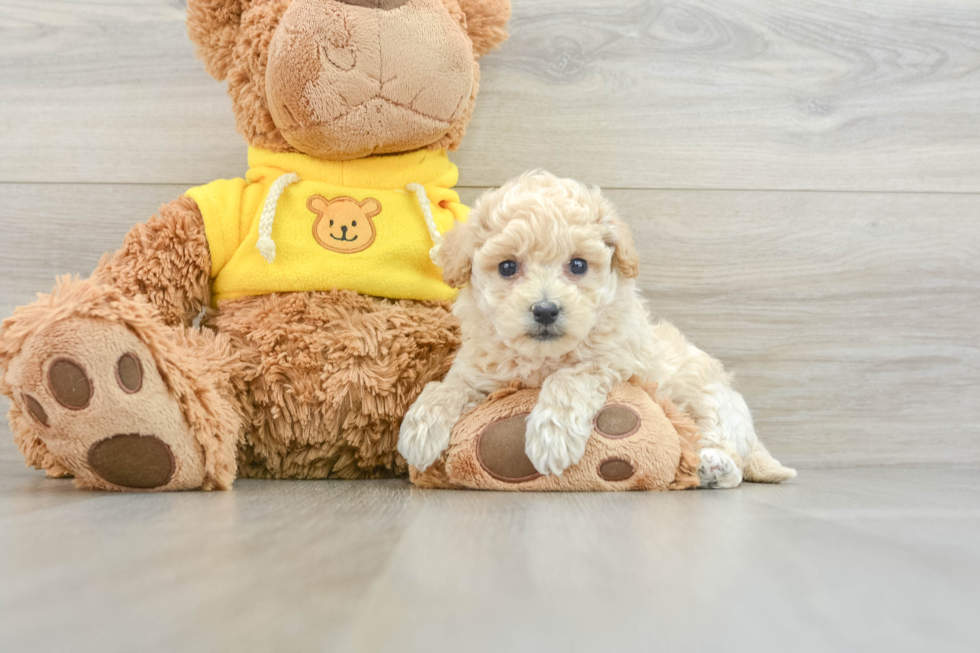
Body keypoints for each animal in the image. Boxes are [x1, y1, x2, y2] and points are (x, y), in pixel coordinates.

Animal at [398, 171, 796, 486]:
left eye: (578, 265)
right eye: (507, 267)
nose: (545, 310)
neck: (542, 358)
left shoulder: (614, 360)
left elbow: (569, 377)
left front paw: (552, 436)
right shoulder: (481, 371)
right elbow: (448, 386)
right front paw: (420, 429)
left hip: (712, 400)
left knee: (729, 451)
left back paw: (713, 467)